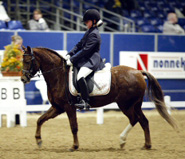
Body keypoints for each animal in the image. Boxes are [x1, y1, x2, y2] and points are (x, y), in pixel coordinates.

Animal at [20, 46, 178, 152]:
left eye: (27, 61)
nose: (23, 79)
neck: (58, 75)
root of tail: (138, 72)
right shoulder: (57, 107)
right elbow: (40, 119)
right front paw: (39, 141)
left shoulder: (68, 107)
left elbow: (73, 127)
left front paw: (74, 146)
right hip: (135, 104)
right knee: (143, 121)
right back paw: (146, 145)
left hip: (125, 105)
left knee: (135, 119)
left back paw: (122, 141)